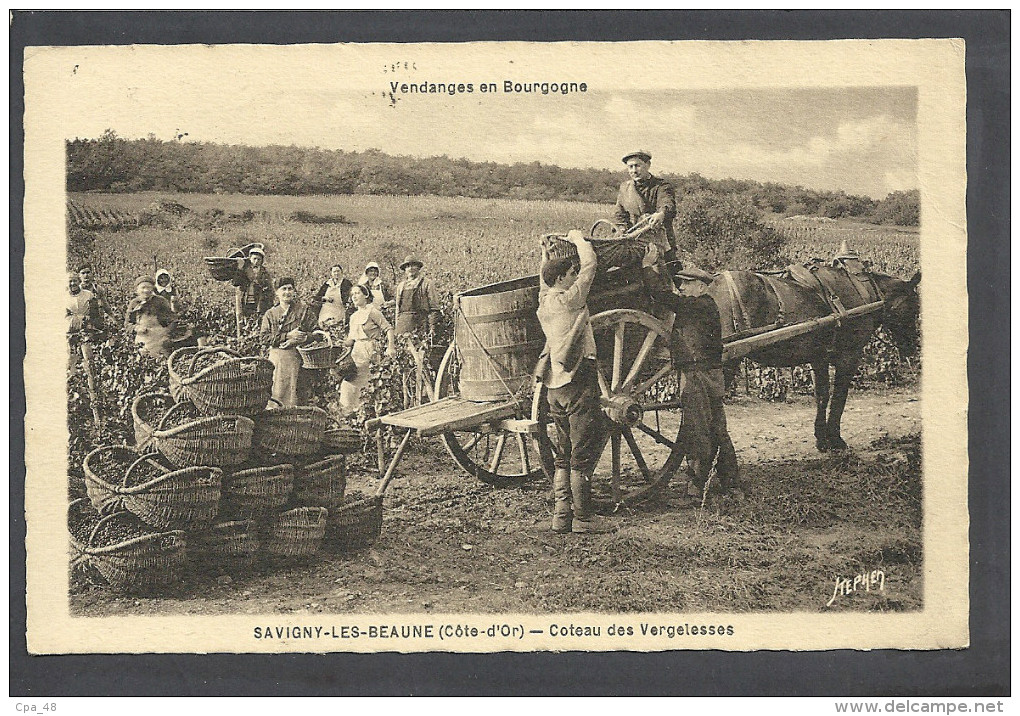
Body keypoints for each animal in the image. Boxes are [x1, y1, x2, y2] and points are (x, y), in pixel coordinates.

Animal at [705, 263, 922, 450]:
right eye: (914, 306)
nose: (912, 346)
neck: (865, 292)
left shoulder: (820, 359)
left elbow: (822, 395)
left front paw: (821, 438)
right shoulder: (849, 357)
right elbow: (839, 397)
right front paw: (835, 438)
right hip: (726, 363)